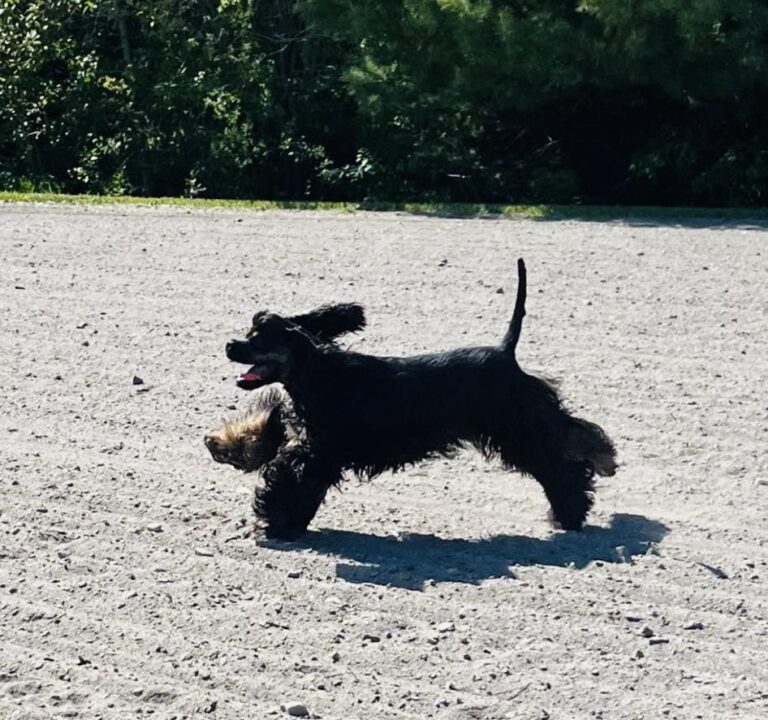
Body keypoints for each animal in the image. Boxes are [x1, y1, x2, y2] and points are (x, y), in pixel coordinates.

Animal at [225, 260, 616, 540]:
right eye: (249, 332)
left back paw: (572, 512)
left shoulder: (319, 451)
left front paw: (275, 522)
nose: (230, 345)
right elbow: (299, 483)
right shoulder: (316, 449)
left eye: (259, 338)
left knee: (561, 464)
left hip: (520, 429)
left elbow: (290, 481)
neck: (320, 375)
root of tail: (506, 353)